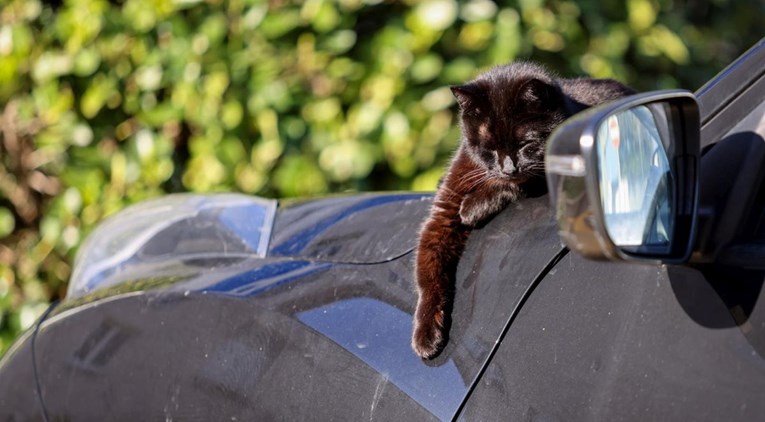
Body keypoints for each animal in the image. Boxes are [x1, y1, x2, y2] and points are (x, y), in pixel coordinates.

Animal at [412, 62, 632, 360]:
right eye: (489, 148)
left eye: (525, 145)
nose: (508, 168)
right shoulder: (446, 207)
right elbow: (428, 270)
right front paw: (425, 336)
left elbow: (515, 185)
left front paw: (472, 208)